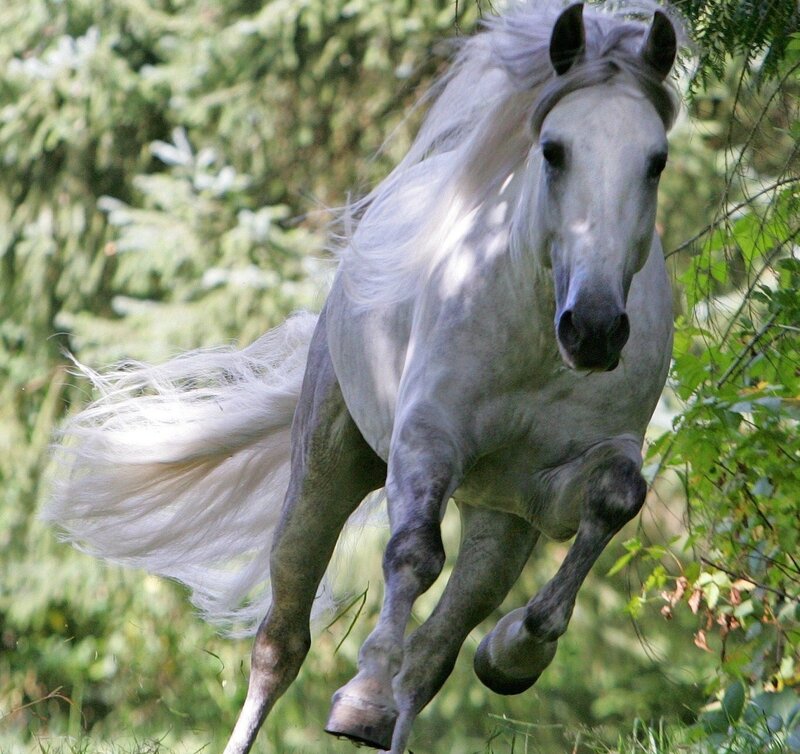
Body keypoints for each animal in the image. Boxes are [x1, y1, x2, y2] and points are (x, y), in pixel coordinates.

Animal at [44, 2, 681, 752]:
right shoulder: (426, 439)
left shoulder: (563, 474)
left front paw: (514, 654)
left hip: (498, 521)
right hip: (325, 470)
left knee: (431, 661)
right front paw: (361, 699)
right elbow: (413, 555)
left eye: (655, 161)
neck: (534, 341)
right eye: (554, 151)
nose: (595, 328)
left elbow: (616, 498)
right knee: (281, 642)